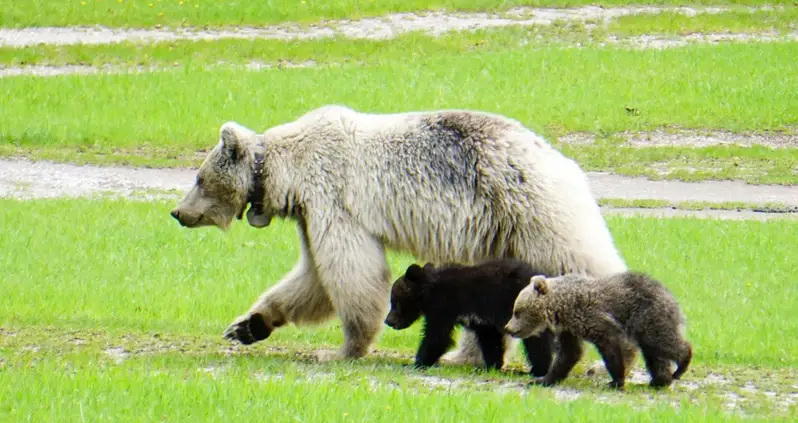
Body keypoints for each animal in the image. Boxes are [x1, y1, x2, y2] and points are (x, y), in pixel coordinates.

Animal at [170, 104, 632, 366]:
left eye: (198, 177)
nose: (177, 212)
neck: (288, 170)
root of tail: (561, 159)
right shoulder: (309, 213)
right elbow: (312, 278)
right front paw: (247, 325)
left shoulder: (332, 198)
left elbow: (351, 271)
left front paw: (342, 349)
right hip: (500, 231)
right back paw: (467, 355)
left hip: (531, 208)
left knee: (580, 261)